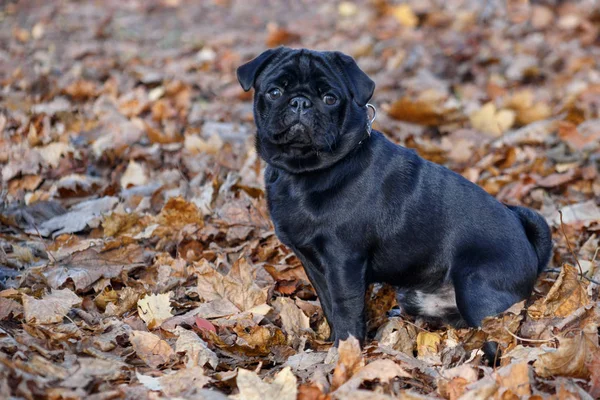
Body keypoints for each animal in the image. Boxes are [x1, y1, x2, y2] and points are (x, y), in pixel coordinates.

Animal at [236, 47, 552, 362]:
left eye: (330, 99)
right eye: (275, 92)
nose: (300, 101)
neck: (303, 173)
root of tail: (529, 246)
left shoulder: (343, 260)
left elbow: (345, 307)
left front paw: (345, 351)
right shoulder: (312, 262)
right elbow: (328, 304)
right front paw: (334, 345)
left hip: (475, 286)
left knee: (496, 332)